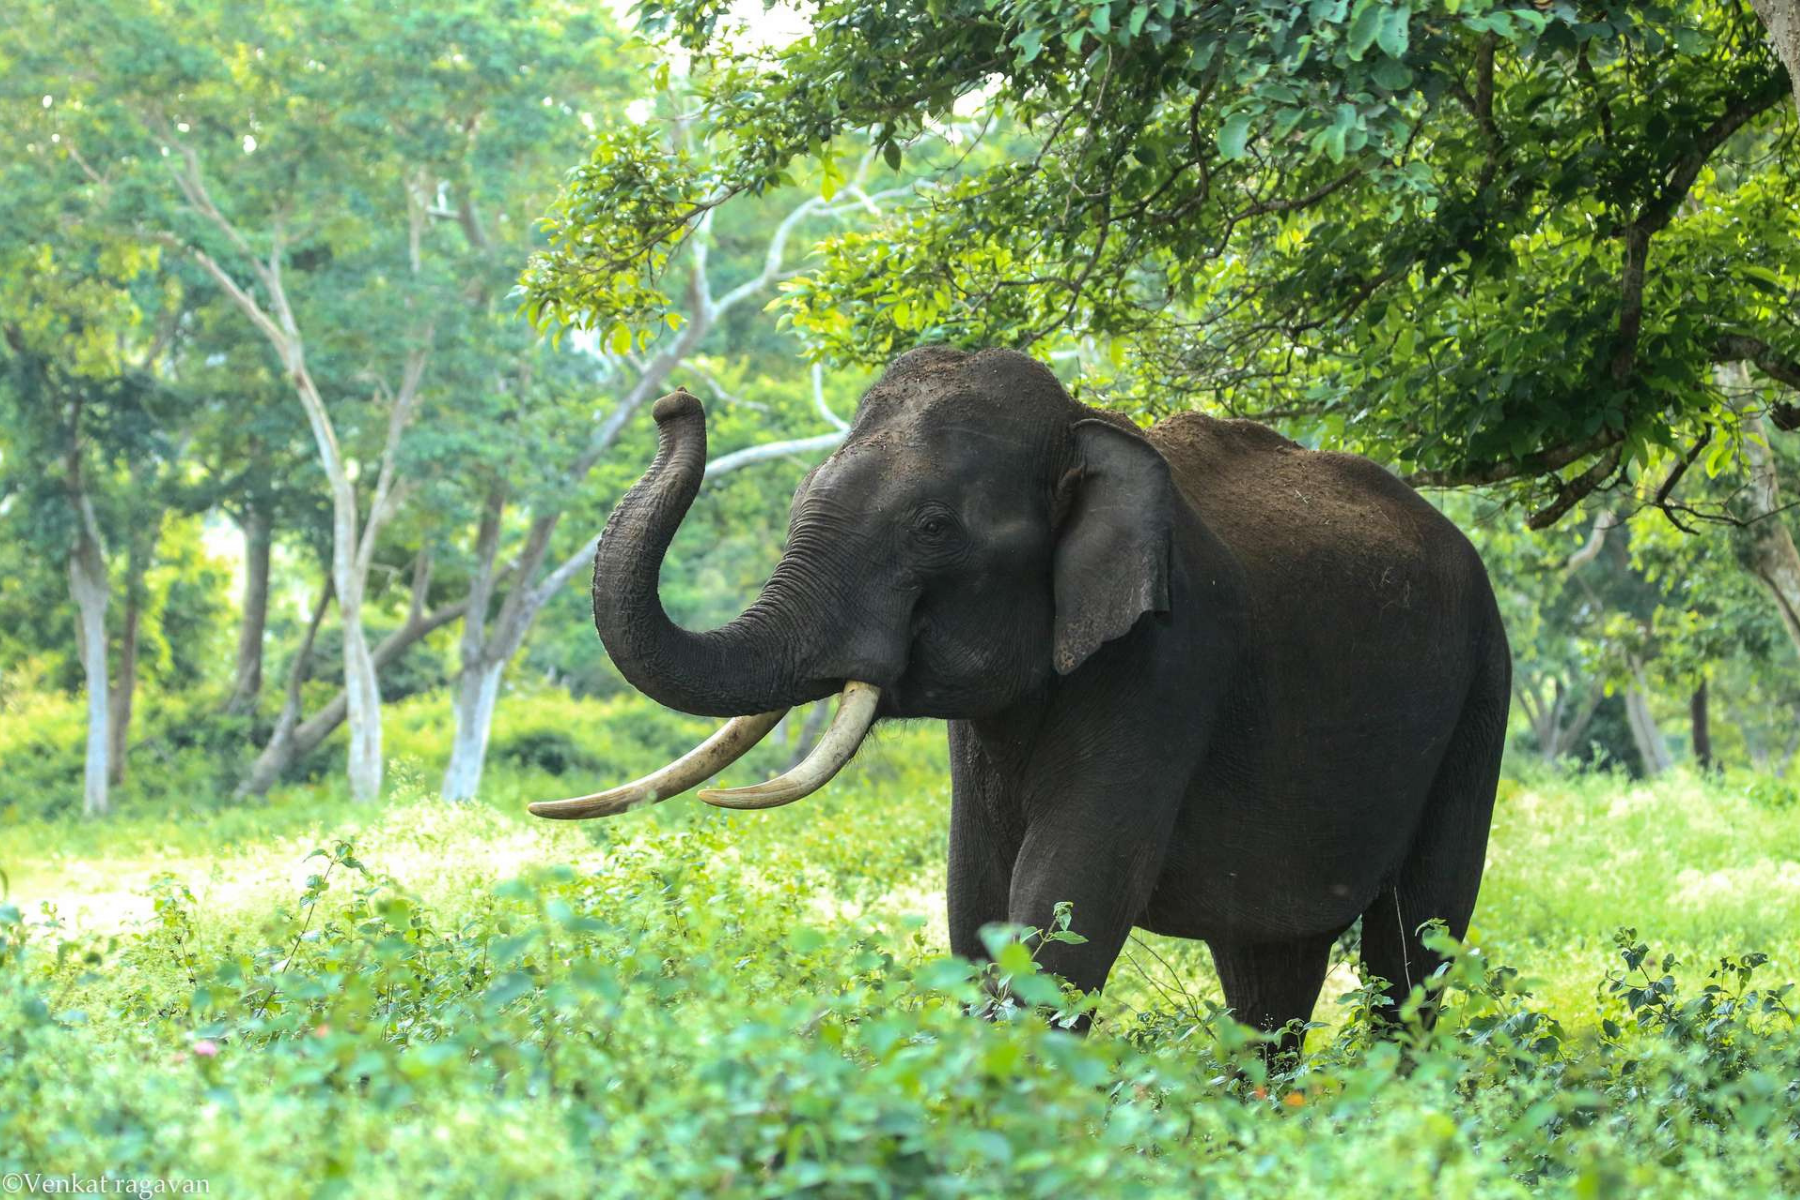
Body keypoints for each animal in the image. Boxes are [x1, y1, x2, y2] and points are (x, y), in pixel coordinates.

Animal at [533, 346, 1511, 1047]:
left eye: (932, 528)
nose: (674, 403)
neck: (1086, 425)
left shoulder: (1169, 662)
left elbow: (1067, 899)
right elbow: (978, 898)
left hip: (1482, 693)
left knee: (1415, 946)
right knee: (1268, 974)